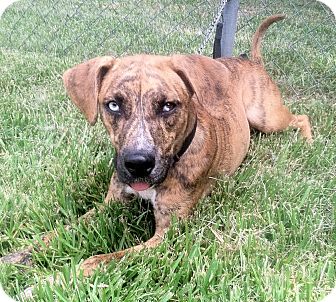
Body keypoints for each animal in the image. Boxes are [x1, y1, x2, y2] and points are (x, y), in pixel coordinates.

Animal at [0, 15, 312, 278]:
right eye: (113, 105)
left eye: (168, 106)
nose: (138, 164)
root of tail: (252, 62)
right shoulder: (110, 202)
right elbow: (57, 233)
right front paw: (18, 257)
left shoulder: (164, 238)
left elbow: (102, 260)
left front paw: (57, 278)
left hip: (266, 117)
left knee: (301, 118)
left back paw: (308, 143)